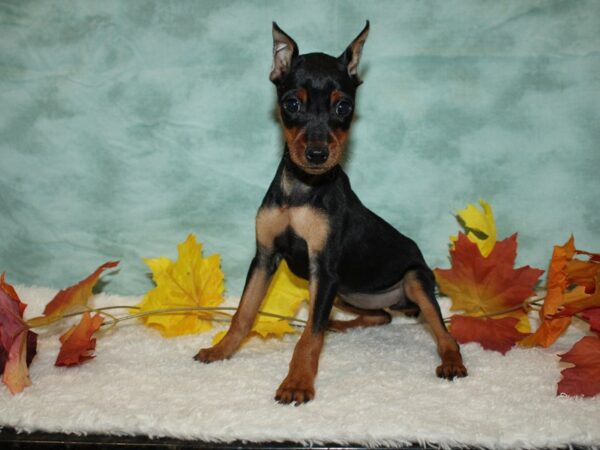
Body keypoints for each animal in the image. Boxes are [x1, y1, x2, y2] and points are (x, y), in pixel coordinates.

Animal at [195, 22, 466, 404]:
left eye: (344, 107)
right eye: (292, 103)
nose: (318, 154)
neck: (303, 189)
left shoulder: (323, 269)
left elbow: (309, 338)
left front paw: (297, 382)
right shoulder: (264, 258)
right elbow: (244, 313)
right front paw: (221, 350)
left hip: (411, 280)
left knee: (443, 333)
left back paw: (451, 361)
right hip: (347, 291)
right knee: (378, 317)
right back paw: (339, 324)